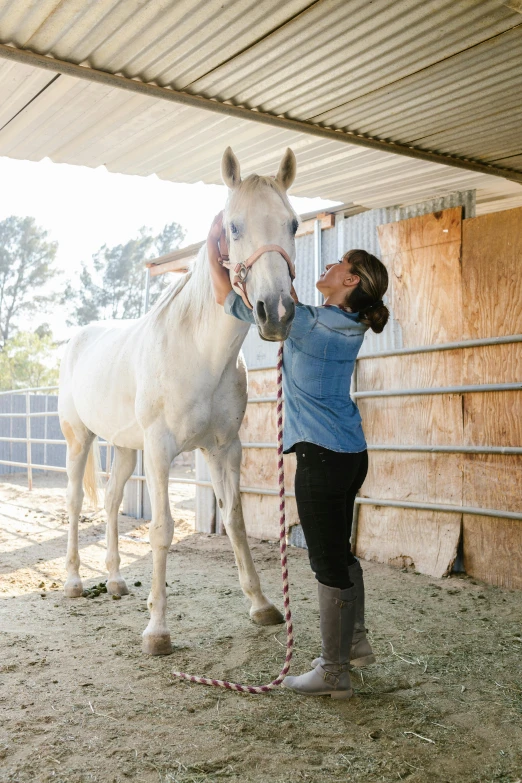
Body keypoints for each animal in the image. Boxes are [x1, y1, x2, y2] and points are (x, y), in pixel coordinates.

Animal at [58, 145, 296, 656]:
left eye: (292, 224)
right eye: (234, 226)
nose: (277, 312)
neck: (199, 352)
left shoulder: (226, 449)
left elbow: (236, 520)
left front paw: (262, 605)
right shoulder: (161, 451)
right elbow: (162, 529)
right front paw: (157, 630)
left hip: (125, 447)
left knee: (111, 503)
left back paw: (114, 581)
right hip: (79, 440)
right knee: (74, 502)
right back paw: (73, 582)